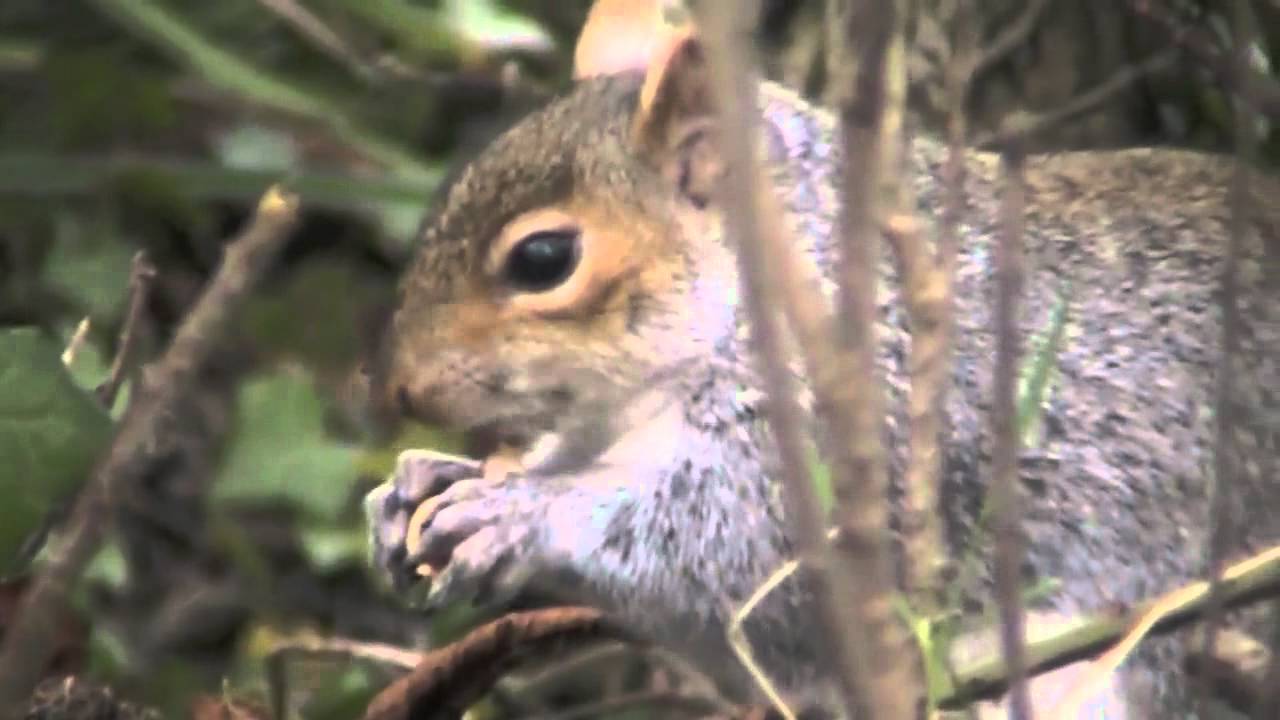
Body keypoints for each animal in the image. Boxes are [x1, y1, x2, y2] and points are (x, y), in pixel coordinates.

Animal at [364, 1, 1280, 716]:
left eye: (544, 259)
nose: (396, 390)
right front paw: (424, 481)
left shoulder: (869, 423)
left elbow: (747, 558)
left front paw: (519, 512)